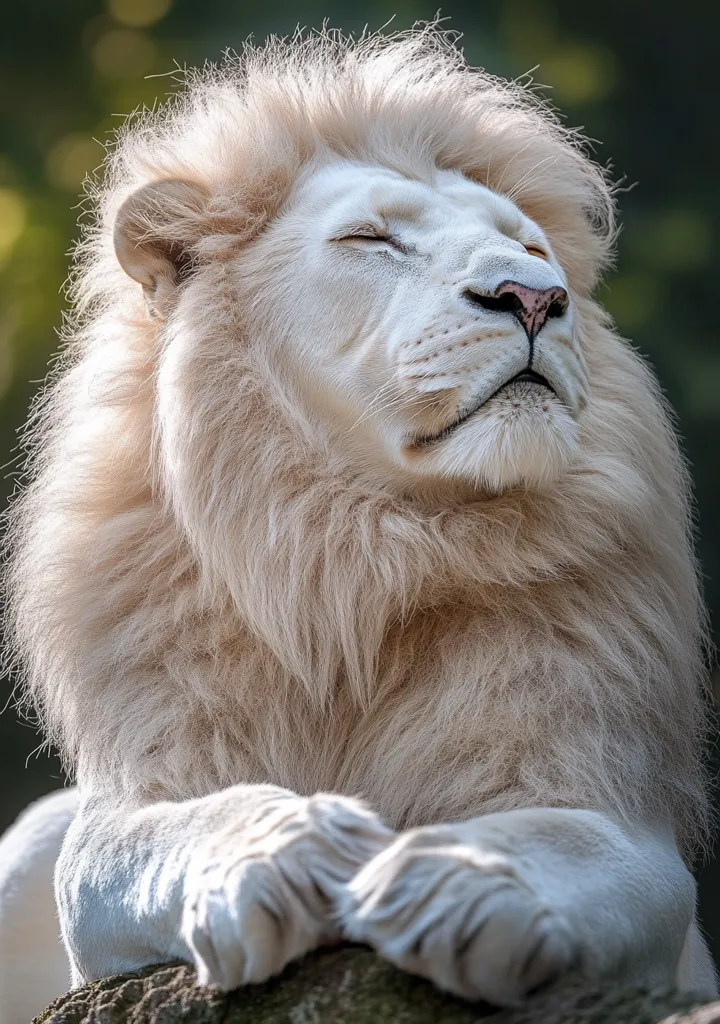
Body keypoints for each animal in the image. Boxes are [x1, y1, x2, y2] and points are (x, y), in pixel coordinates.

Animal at [0, 25, 715, 1023]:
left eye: (531, 246)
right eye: (372, 239)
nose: (536, 295)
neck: (358, 551)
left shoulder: (620, 816)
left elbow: (574, 842)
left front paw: (460, 881)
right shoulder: (124, 808)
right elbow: (153, 841)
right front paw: (281, 852)